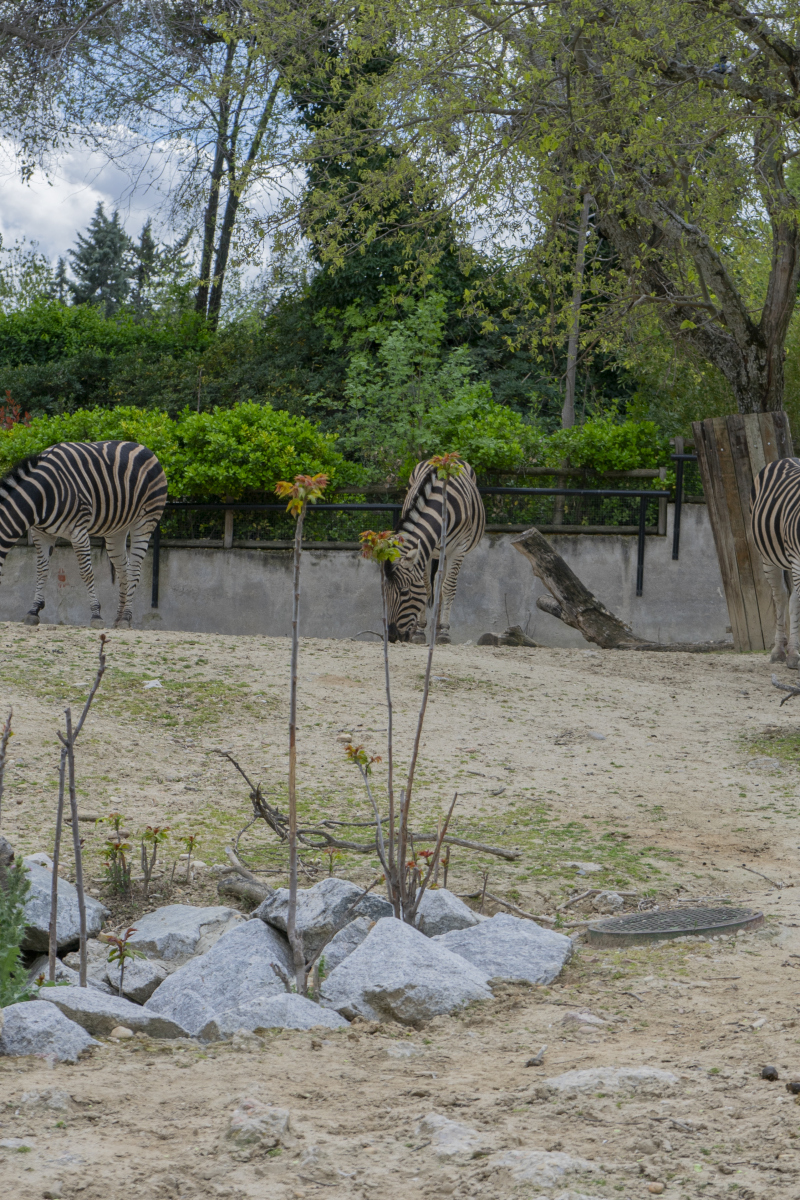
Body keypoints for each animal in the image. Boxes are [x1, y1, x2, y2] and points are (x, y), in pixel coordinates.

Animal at [0, 441, 166, 628]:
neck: (42, 495)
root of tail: (145, 448)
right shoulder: (40, 533)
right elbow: (42, 570)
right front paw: (33, 611)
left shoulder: (78, 531)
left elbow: (86, 572)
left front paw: (96, 615)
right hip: (116, 530)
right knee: (123, 569)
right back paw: (118, 618)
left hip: (145, 519)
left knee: (134, 570)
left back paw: (125, 617)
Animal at [383, 458, 484, 648]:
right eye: (385, 591)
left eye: (404, 592)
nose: (391, 637)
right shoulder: (427, 551)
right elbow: (427, 588)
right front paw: (419, 631)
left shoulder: (458, 547)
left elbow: (449, 586)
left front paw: (444, 631)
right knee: (437, 582)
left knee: (442, 582)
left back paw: (438, 629)